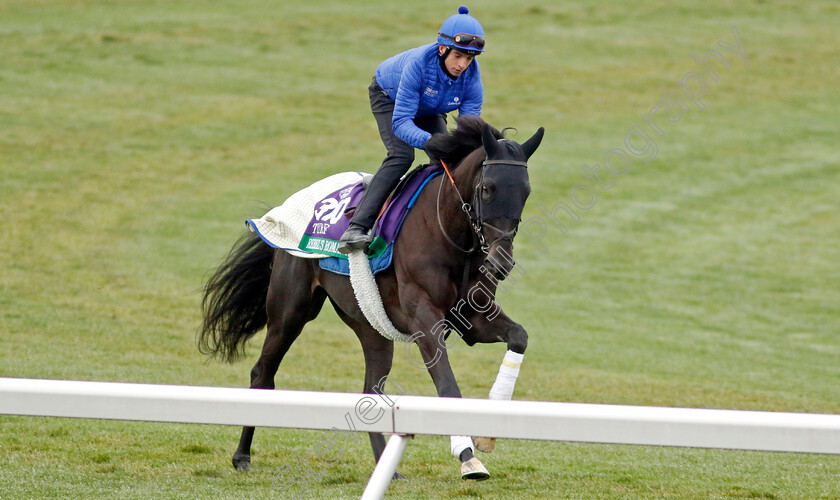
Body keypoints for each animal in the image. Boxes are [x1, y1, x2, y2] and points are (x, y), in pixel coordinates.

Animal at [201, 116, 548, 480]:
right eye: (487, 188)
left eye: (525, 191)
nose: (501, 262)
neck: (452, 235)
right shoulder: (425, 318)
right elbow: (447, 385)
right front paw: (467, 455)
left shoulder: (472, 318)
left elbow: (519, 336)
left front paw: (488, 431)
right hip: (290, 313)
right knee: (262, 373)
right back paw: (242, 455)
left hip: (371, 325)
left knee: (370, 391)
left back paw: (387, 466)